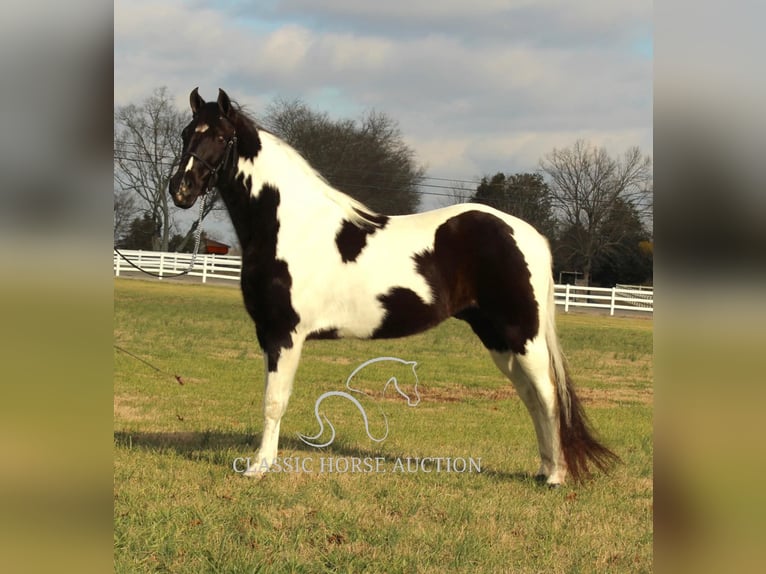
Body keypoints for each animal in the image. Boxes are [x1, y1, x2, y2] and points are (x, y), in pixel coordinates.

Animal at [168, 90, 616, 486]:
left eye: (220, 136)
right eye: (187, 132)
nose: (181, 190)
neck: (290, 226)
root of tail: (529, 235)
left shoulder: (284, 333)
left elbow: (274, 401)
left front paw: (259, 468)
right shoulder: (269, 334)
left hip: (523, 336)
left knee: (548, 397)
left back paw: (556, 476)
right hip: (499, 339)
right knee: (531, 398)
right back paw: (543, 469)